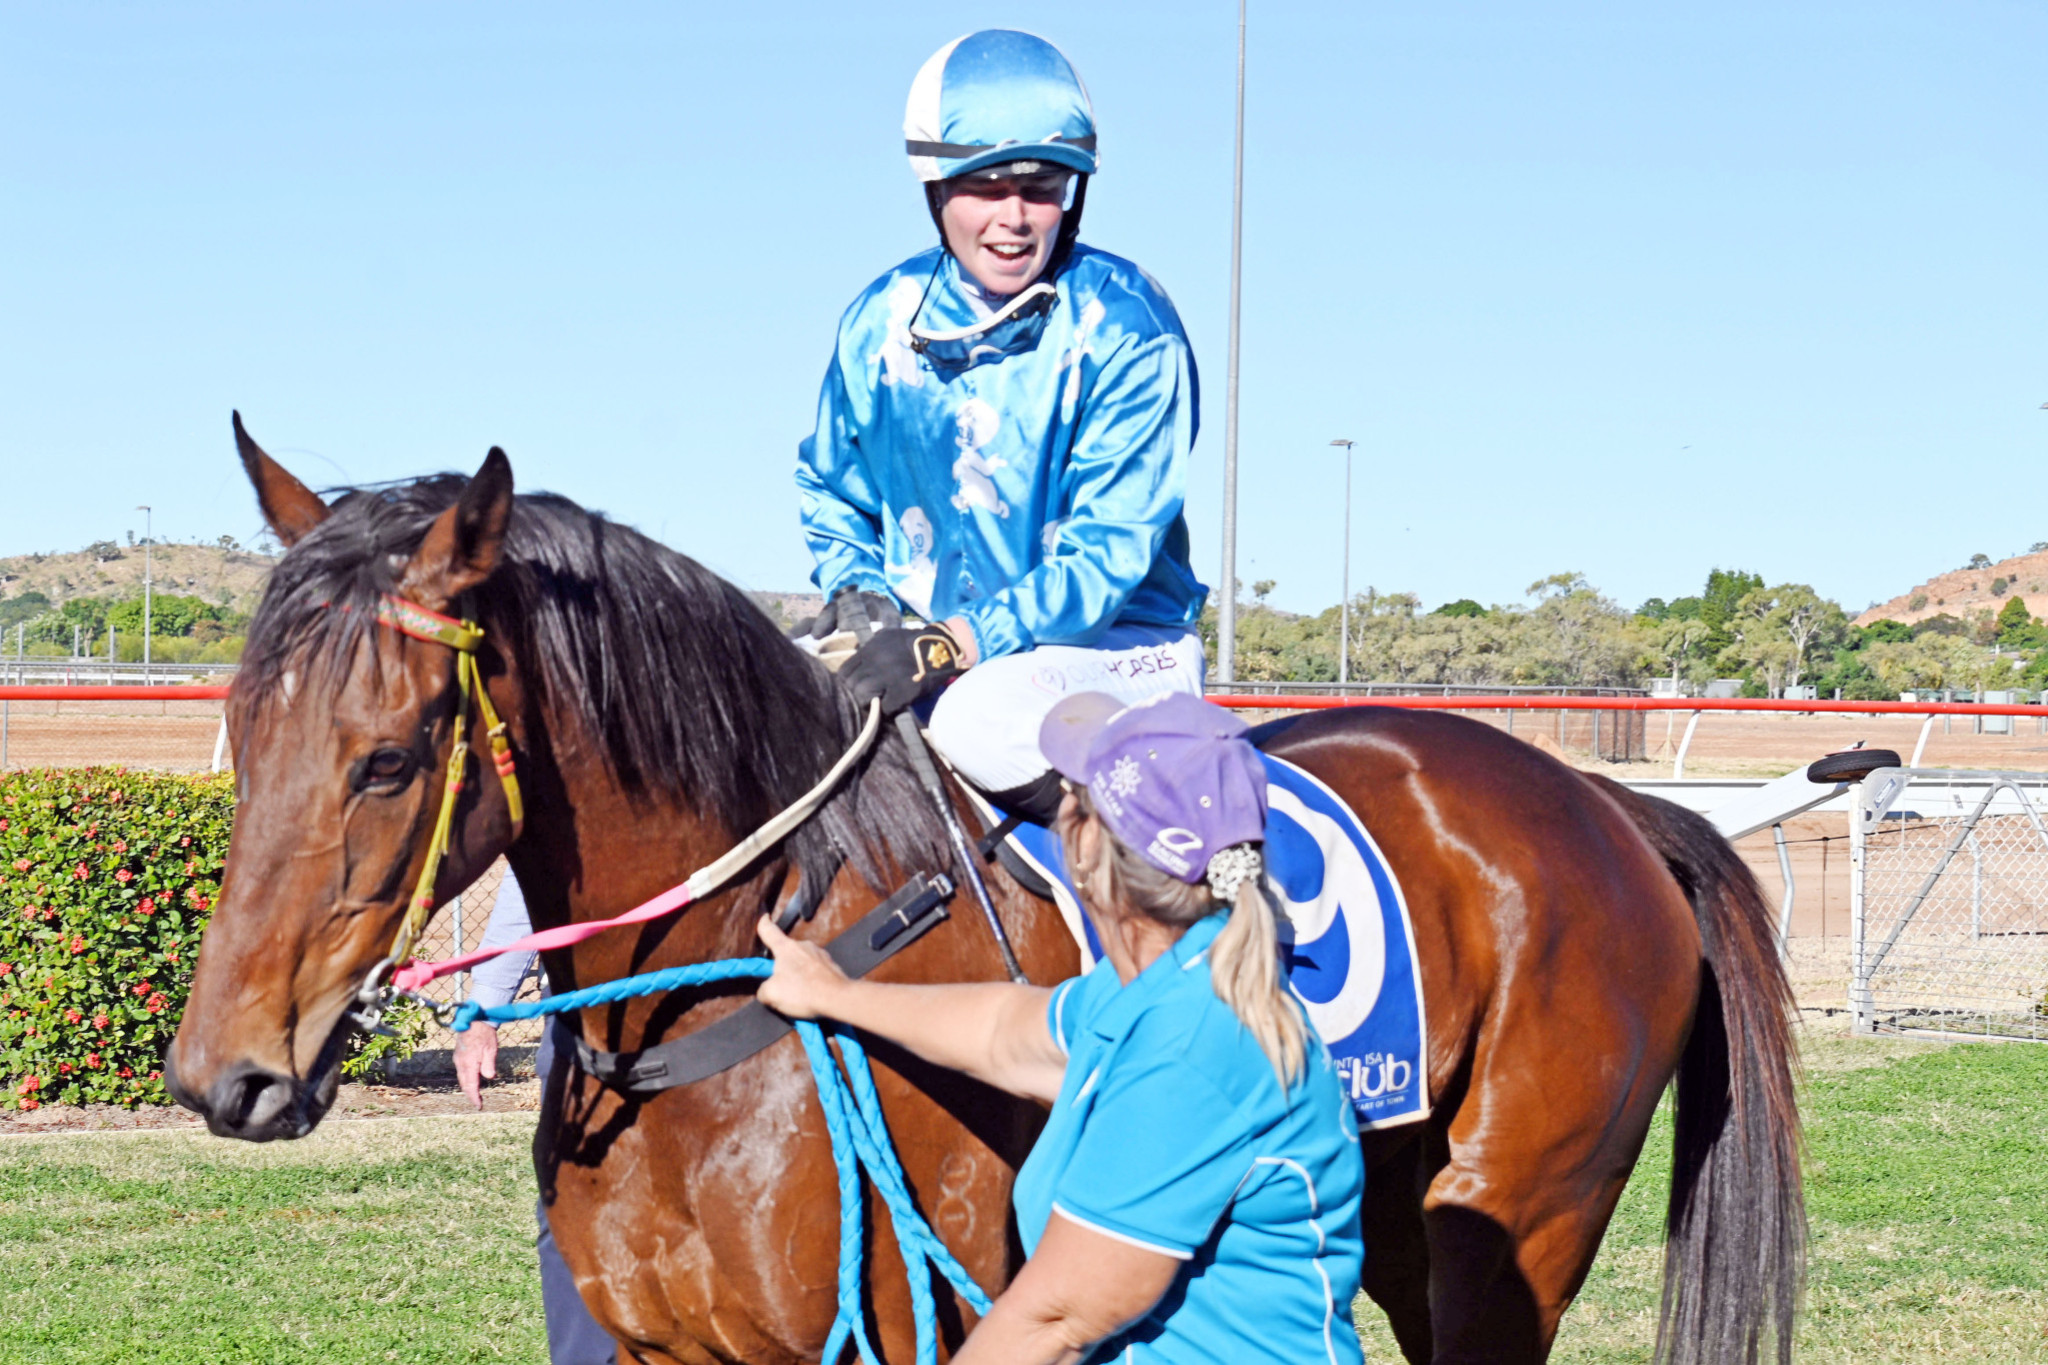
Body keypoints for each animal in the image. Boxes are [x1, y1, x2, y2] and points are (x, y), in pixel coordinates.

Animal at [176, 429, 1810, 1365]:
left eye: (389, 760)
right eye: (242, 727)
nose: (221, 1076)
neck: (720, 1022)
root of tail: (1610, 804)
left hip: (1513, 1222)